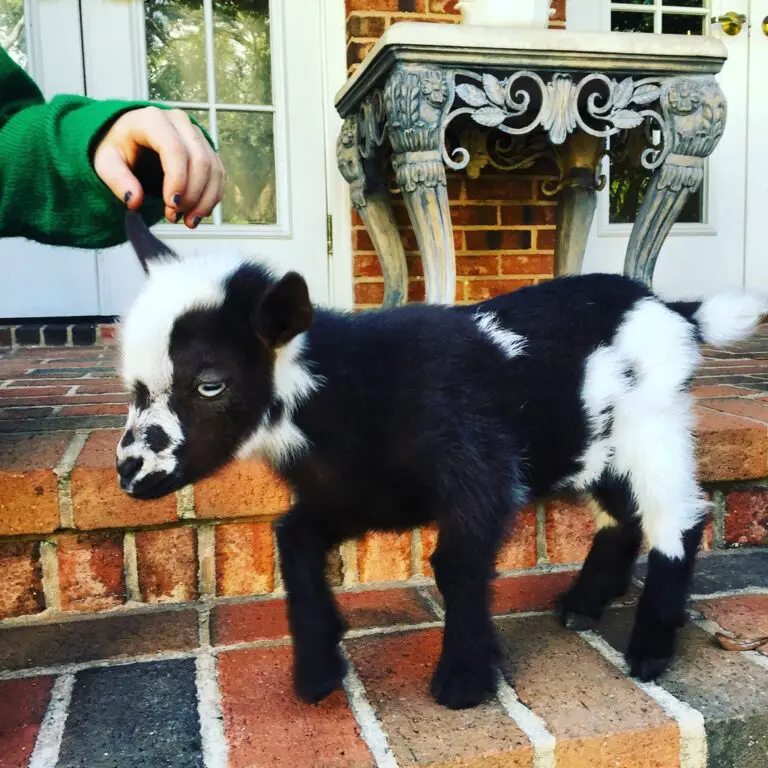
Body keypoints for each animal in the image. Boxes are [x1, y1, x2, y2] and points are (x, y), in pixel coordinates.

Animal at [116, 211, 765, 710]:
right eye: (134, 387)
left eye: (210, 384)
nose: (129, 472)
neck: (347, 384)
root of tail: (670, 308)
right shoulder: (360, 492)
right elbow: (292, 536)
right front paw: (318, 669)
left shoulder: (478, 472)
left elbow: (455, 564)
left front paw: (463, 681)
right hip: (592, 441)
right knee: (623, 514)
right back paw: (583, 605)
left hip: (652, 423)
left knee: (677, 518)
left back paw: (650, 647)